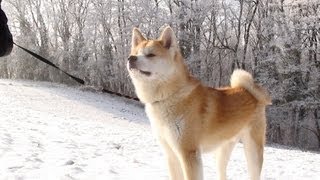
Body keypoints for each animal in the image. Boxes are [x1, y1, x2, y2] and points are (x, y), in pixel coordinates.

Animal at [126, 25, 272, 180]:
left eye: (151, 55)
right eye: (135, 53)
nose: (131, 58)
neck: (169, 96)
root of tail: (247, 90)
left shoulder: (188, 152)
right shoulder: (171, 154)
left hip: (253, 152)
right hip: (223, 151)